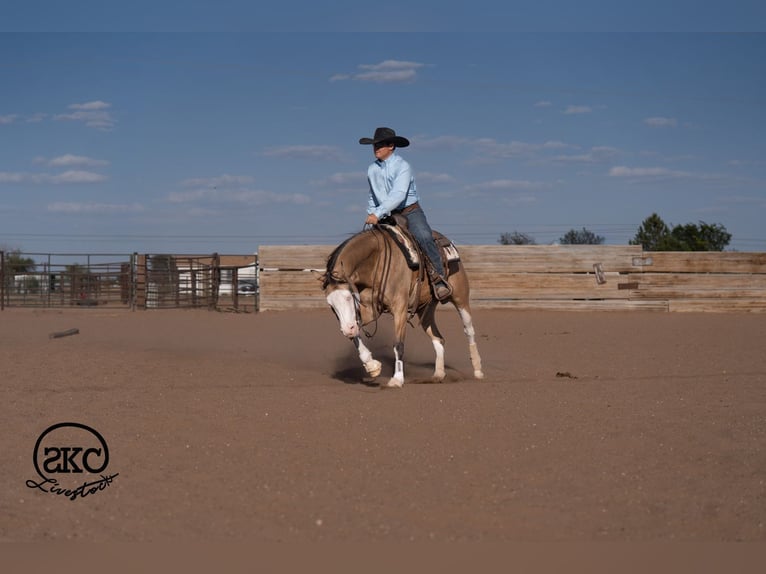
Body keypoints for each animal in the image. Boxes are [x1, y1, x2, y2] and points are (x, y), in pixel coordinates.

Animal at [317, 224, 484, 388]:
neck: (377, 261)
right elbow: (356, 336)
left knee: (468, 330)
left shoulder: (400, 309)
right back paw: (438, 374)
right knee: (438, 338)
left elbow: (398, 344)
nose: (347, 329)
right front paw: (372, 366)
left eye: (348, 297)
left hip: (460, 298)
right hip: (425, 309)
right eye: (331, 304)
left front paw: (397, 379)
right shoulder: (369, 310)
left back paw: (478, 370)